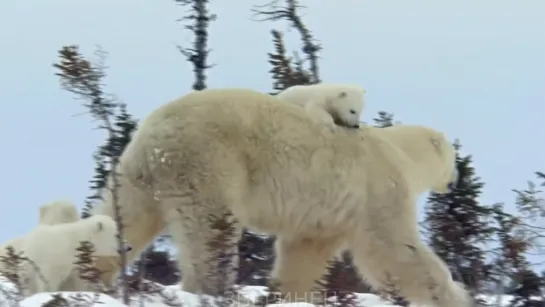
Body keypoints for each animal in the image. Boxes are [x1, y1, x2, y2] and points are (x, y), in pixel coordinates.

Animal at [90, 88, 472, 306]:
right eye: (454, 158)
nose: (455, 180)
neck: (399, 152)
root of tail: (156, 131)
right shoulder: (377, 187)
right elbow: (394, 249)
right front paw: (455, 297)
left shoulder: (326, 214)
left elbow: (304, 253)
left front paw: (290, 296)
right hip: (210, 161)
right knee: (211, 232)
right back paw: (211, 289)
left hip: (138, 173)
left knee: (123, 218)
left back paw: (92, 275)